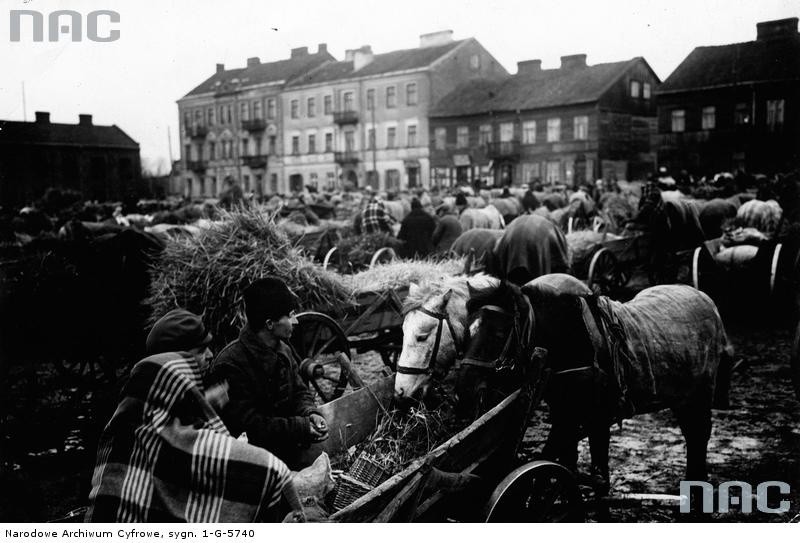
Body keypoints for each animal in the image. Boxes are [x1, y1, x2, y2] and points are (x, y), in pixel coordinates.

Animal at [460, 274, 736, 490]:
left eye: (499, 333)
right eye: (467, 330)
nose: (465, 391)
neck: (571, 338)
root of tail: (706, 300)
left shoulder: (580, 415)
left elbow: (560, 459)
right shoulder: (573, 412)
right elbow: (579, 459)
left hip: (696, 397)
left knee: (697, 436)